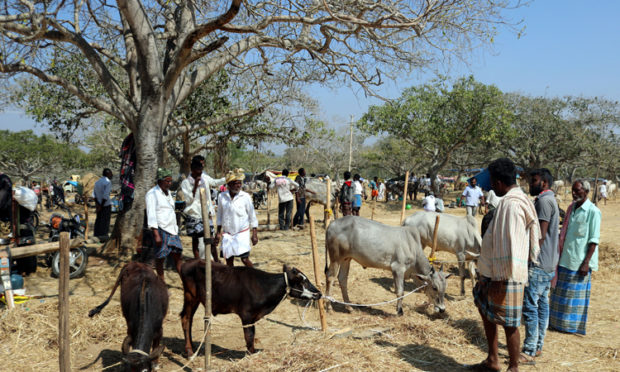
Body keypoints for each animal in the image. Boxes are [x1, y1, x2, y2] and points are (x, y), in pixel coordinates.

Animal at [178, 260, 320, 356]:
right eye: (302, 281)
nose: (319, 293)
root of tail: (187, 263)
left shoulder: (253, 317)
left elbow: (252, 333)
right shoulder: (246, 314)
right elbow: (249, 336)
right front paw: (251, 354)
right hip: (191, 296)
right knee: (186, 318)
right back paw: (190, 351)